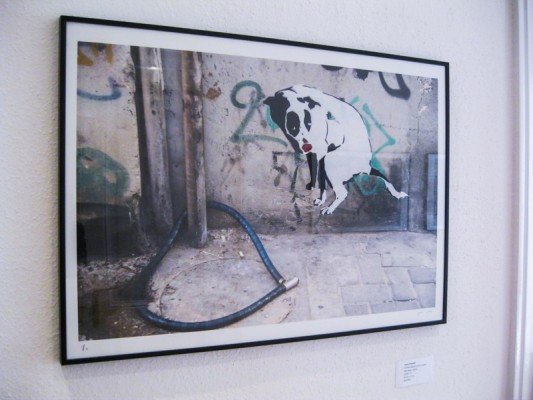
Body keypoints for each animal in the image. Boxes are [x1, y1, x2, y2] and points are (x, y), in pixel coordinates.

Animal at [264, 84, 407, 215]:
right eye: (293, 127)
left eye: (308, 123)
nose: (307, 146)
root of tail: (366, 166)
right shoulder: (314, 153)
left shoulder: (320, 149)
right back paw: (321, 200)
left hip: (330, 162)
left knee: (342, 192)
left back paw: (329, 208)